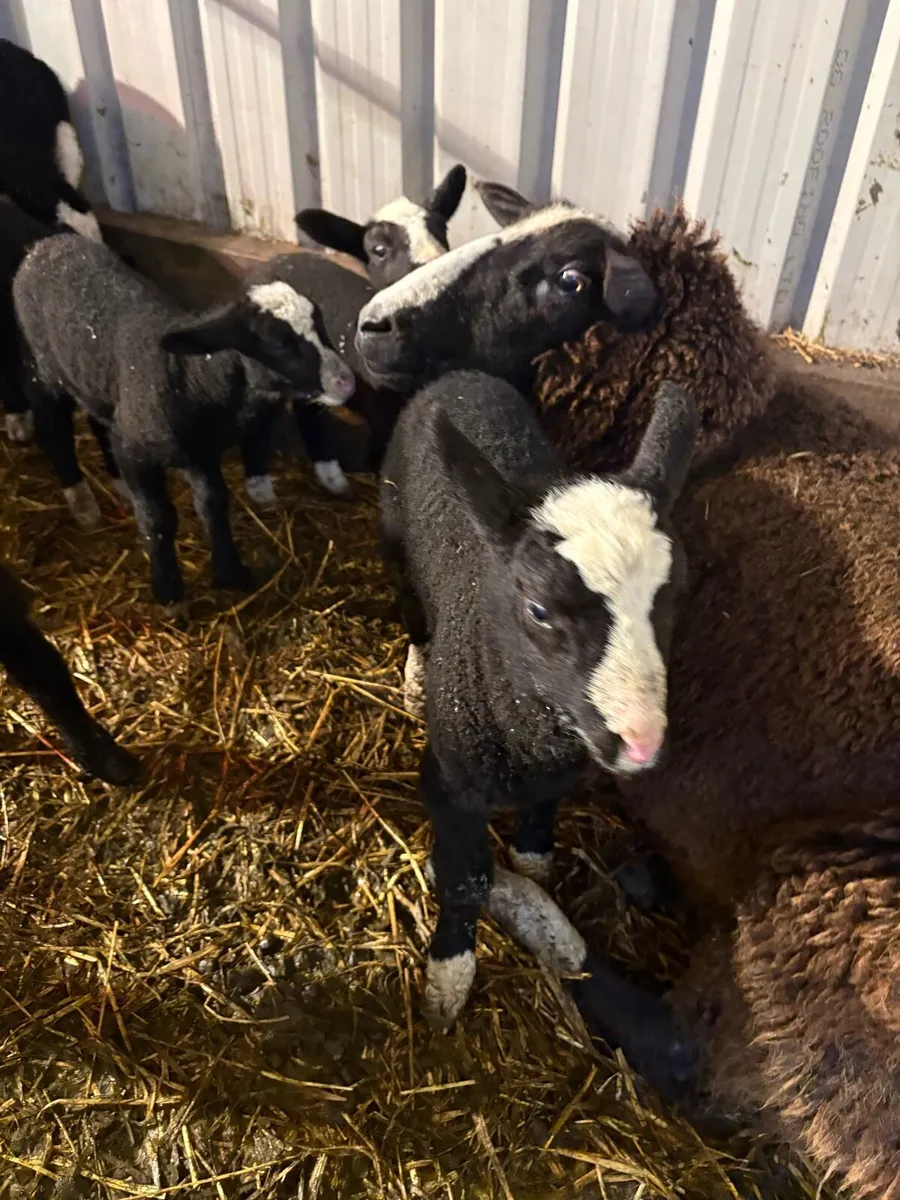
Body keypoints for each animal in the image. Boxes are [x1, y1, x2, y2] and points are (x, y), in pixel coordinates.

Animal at [12, 233, 356, 604]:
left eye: (320, 322)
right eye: (277, 342)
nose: (346, 381)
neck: (187, 375)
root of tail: (46, 244)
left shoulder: (200, 452)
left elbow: (213, 504)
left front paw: (230, 571)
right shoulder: (138, 454)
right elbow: (157, 519)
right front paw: (169, 591)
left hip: (95, 386)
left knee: (100, 423)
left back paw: (118, 485)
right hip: (45, 370)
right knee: (55, 430)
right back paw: (82, 502)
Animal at [378, 367, 698, 1043]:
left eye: (677, 596)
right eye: (540, 610)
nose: (641, 741)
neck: (530, 732)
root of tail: (461, 375)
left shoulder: (561, 766)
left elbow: (538, 833)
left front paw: (532, 870)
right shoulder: (448, 784)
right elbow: (467, 878)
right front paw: (448, 981)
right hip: (392, 537)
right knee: (410, 608)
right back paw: (416, 670)